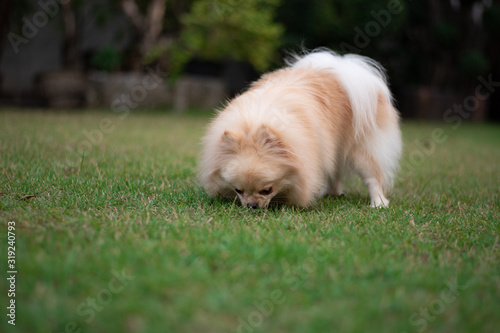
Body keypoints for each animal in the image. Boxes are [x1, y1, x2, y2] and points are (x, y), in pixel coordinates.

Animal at [199, 47, 402, 208]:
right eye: (238, 190)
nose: (251, 205)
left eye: (267, 190)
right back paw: (333, 193)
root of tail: (339, 67)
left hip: (360, 149)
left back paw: (378, 203)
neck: (254, 122)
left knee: (372, 175)